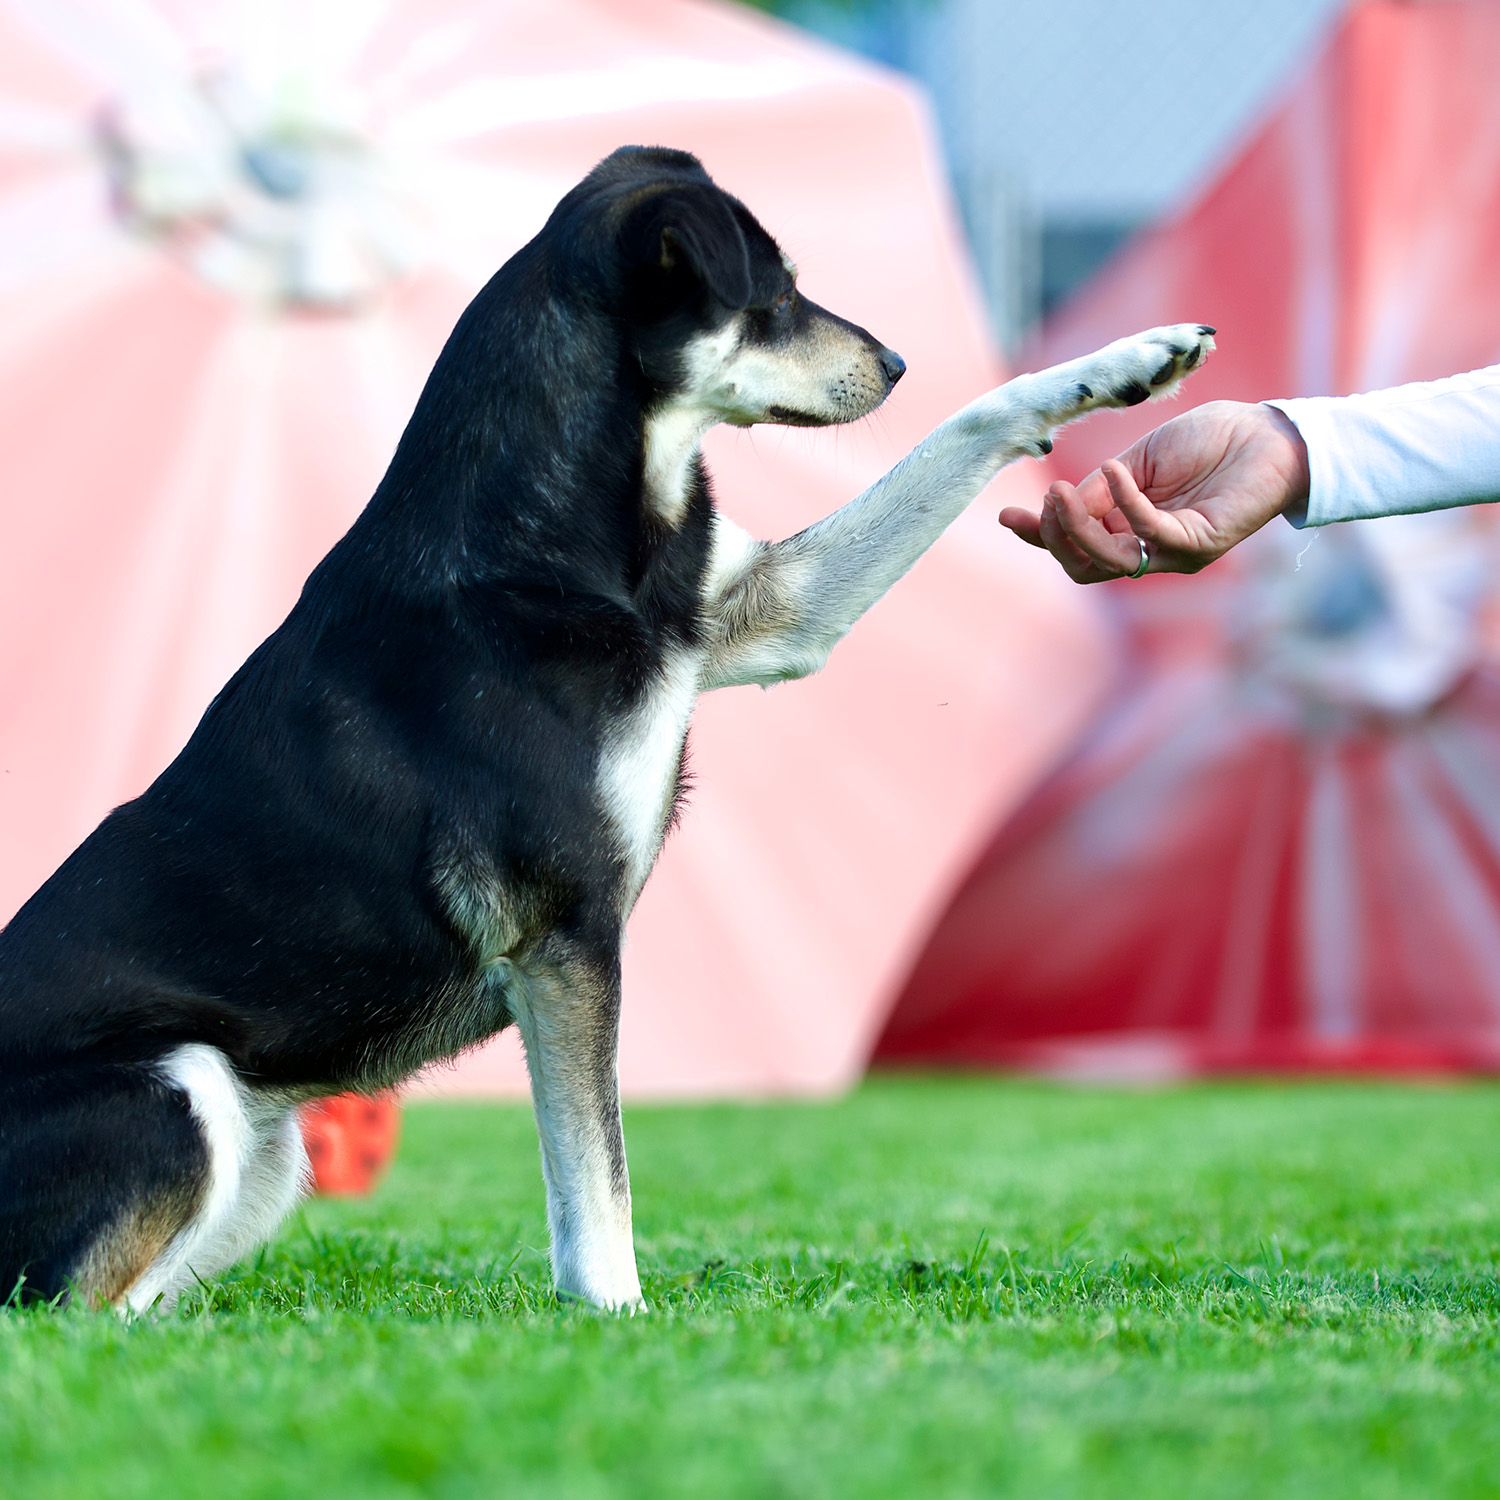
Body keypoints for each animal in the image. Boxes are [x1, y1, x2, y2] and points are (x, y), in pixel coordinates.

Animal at [0, 146, 1206, 1308]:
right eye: (775, 295)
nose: (897, 363)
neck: (547, 544)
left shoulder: (772, 614)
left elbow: (976, 424)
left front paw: (1132, 361)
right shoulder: (567, 939)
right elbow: (595, 1179)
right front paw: (616, 1318)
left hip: (262, 1148)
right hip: (183, 1088)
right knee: (67, 1314)